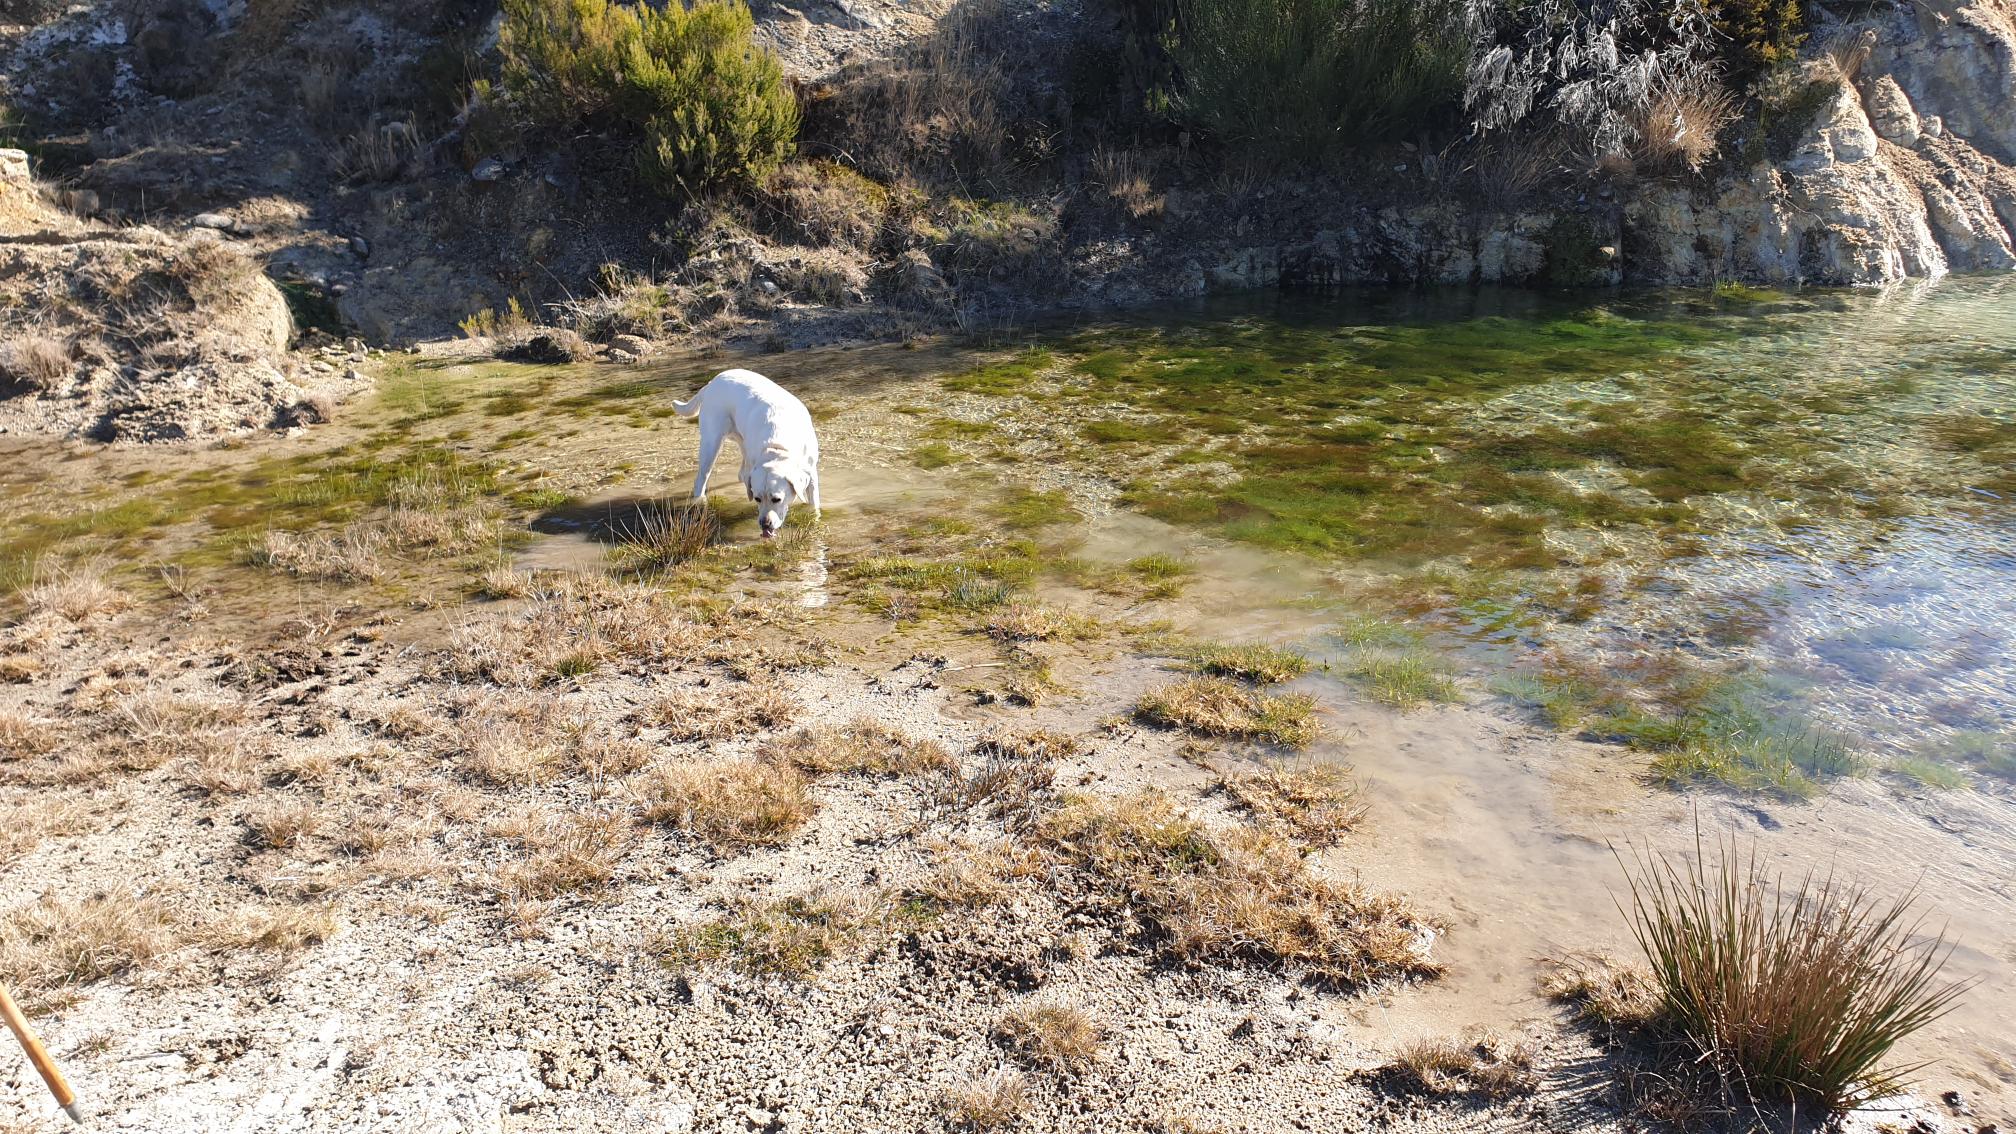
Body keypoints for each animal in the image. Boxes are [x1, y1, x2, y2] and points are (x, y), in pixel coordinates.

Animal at [677, 363, 818, 536]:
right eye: (757, 499)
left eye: (776, 499)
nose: (765, 525)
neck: (778, 447)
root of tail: (712, 382)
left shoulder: (811, 472)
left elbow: (814, 502)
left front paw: (814, 517)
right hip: (711, 443)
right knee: (701, 480)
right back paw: (700, 501)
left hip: (741, 442)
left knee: (741, 473)